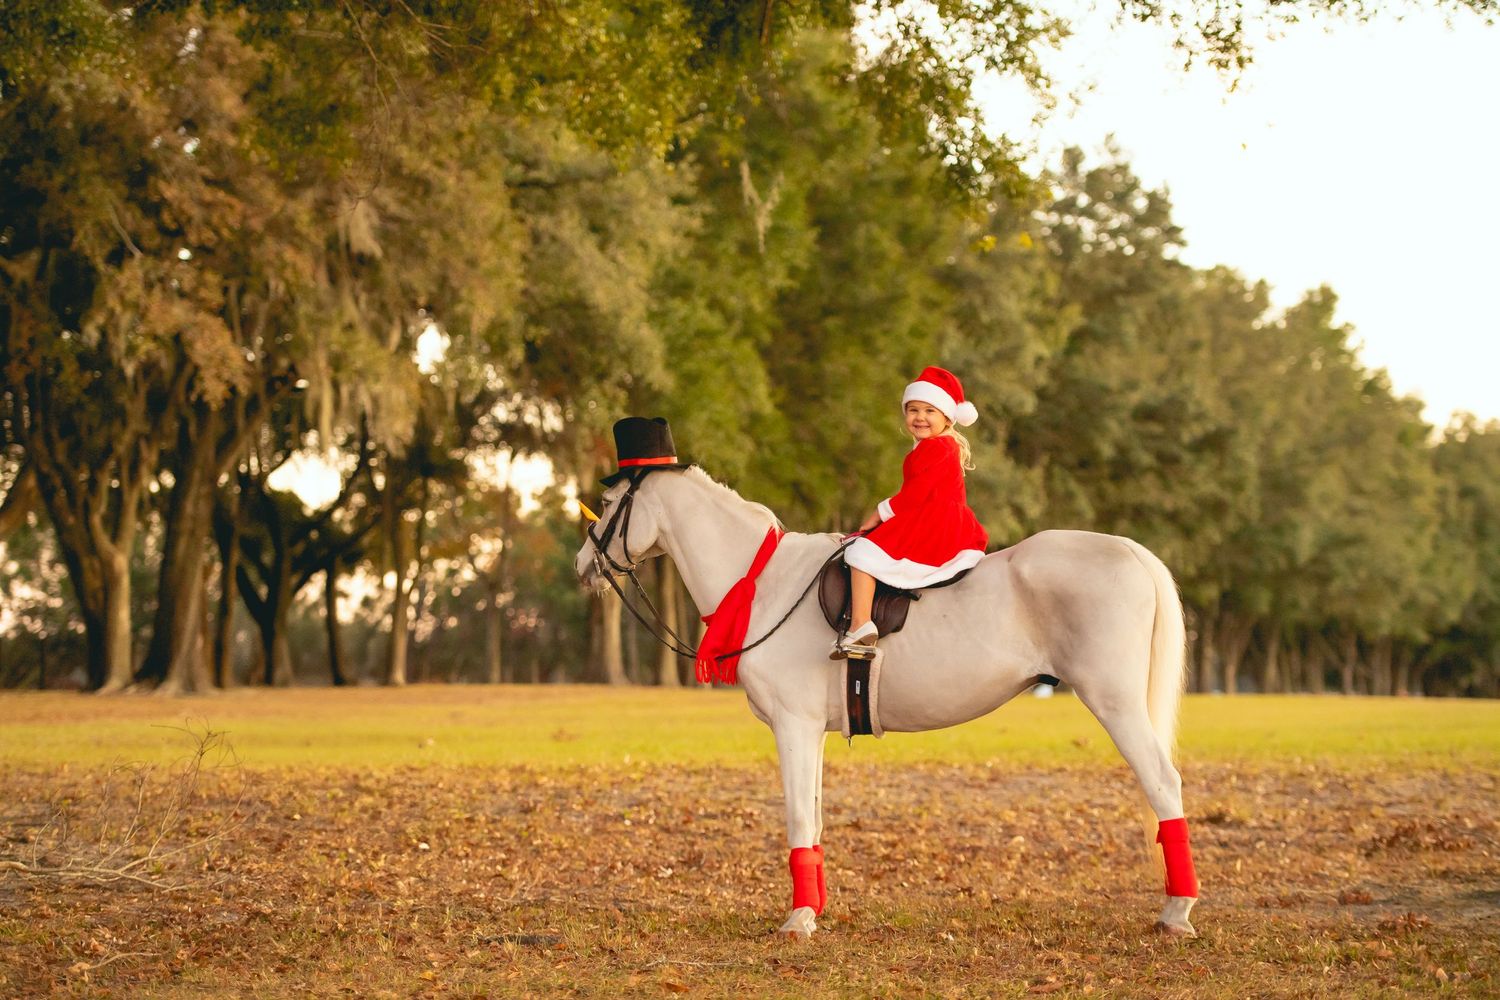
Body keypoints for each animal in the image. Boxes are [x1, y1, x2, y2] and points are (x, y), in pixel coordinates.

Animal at [574, 465, 1199, 939]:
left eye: (605, 504)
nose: (583, 566)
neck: (765, 583)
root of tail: (1128, 551)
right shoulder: (811, 732)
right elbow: (815, 817)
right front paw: (815, 908)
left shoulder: (793, 726)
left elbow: (799, 816)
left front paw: (798, 920)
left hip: (1114, 701)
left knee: (1163, 783)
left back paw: (1176, 912)